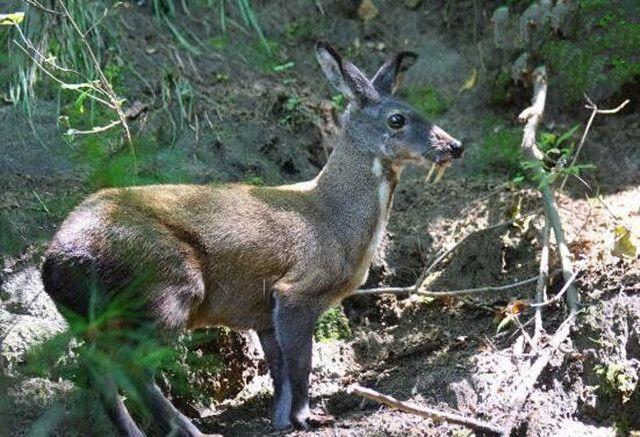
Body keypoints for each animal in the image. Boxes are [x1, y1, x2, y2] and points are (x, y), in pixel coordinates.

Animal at [41, 41, 464, 436]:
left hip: (97, 314)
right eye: (397, 119)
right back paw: (193, 430)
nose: (455, 146)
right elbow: (301, 364)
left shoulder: (262, 309)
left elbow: (280, 372)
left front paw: (281, 421)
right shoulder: (299, 289)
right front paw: (308, 418)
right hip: (164, 285)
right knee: (131, 367)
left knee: (98, 367)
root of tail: (55, 261)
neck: (334, 221)